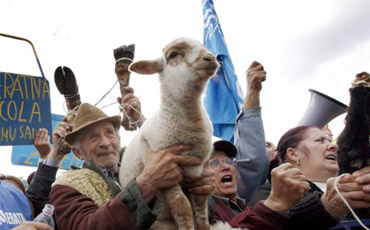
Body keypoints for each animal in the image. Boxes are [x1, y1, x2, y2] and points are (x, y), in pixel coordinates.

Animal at [120, 37, 220, 230]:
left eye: (203, 46)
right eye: (173, 54)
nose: (211, 58)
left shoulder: (199, 171)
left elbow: (201, 211)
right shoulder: (166, 174)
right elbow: (181, 205)